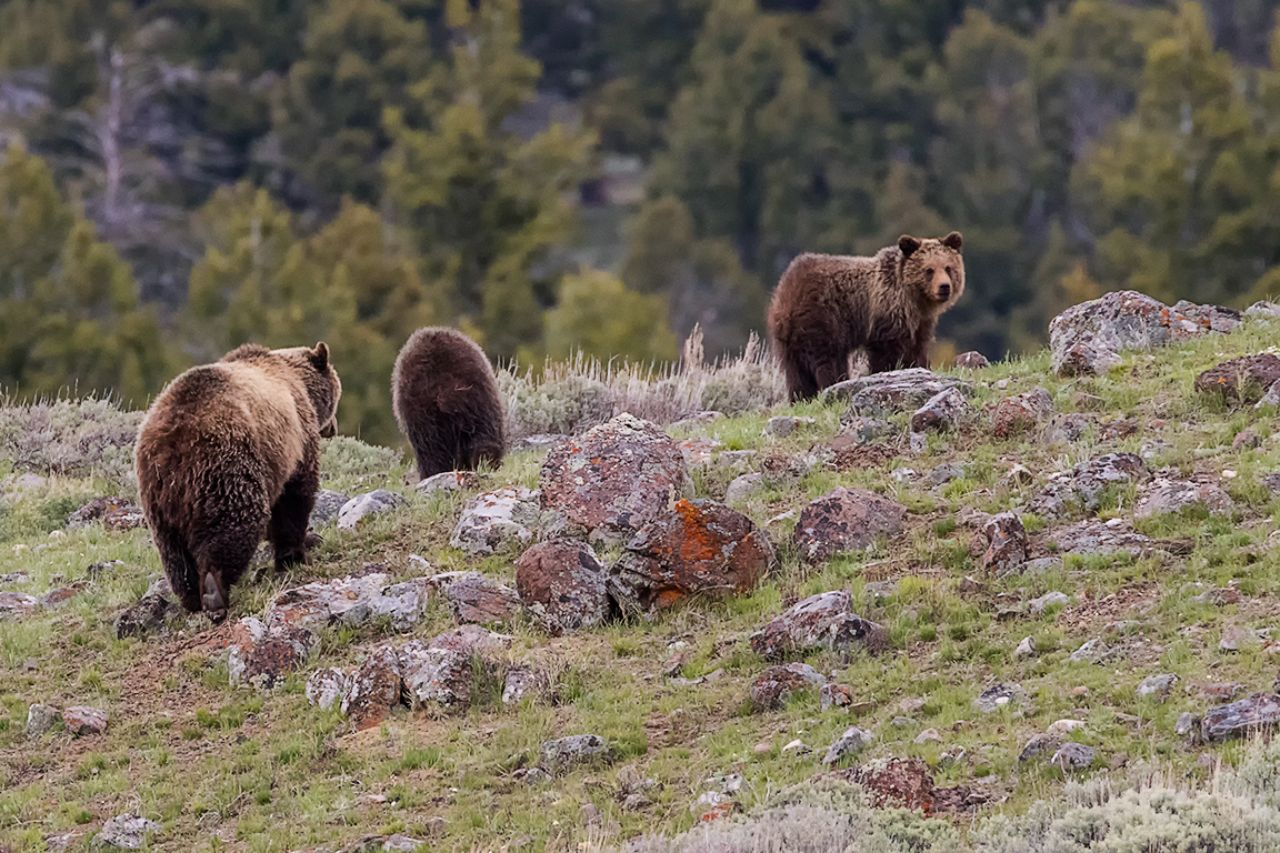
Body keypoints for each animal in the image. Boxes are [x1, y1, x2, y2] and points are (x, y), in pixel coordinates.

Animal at [135, 342, 342, 620]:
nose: (333, 428)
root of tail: (173, 442)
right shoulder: (295, 440)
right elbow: (294, 498)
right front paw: (296, 555)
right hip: (225, 465)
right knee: (237, 521)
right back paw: (214, 592)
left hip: (157, 496)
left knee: (173, 551)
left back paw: (190, 596)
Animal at [767, 232, 966, 402]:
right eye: (929, 270)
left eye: (948, 267)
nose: (944, 287)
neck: (914, 301)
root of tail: (788, 287)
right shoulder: (885, 318)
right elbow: (886, 354)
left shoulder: (920, 323)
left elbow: (918, 350)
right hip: (822, 321)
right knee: (827, 362)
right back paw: (833, 385)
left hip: (789, 339)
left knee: (796, 373)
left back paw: (801, 398)